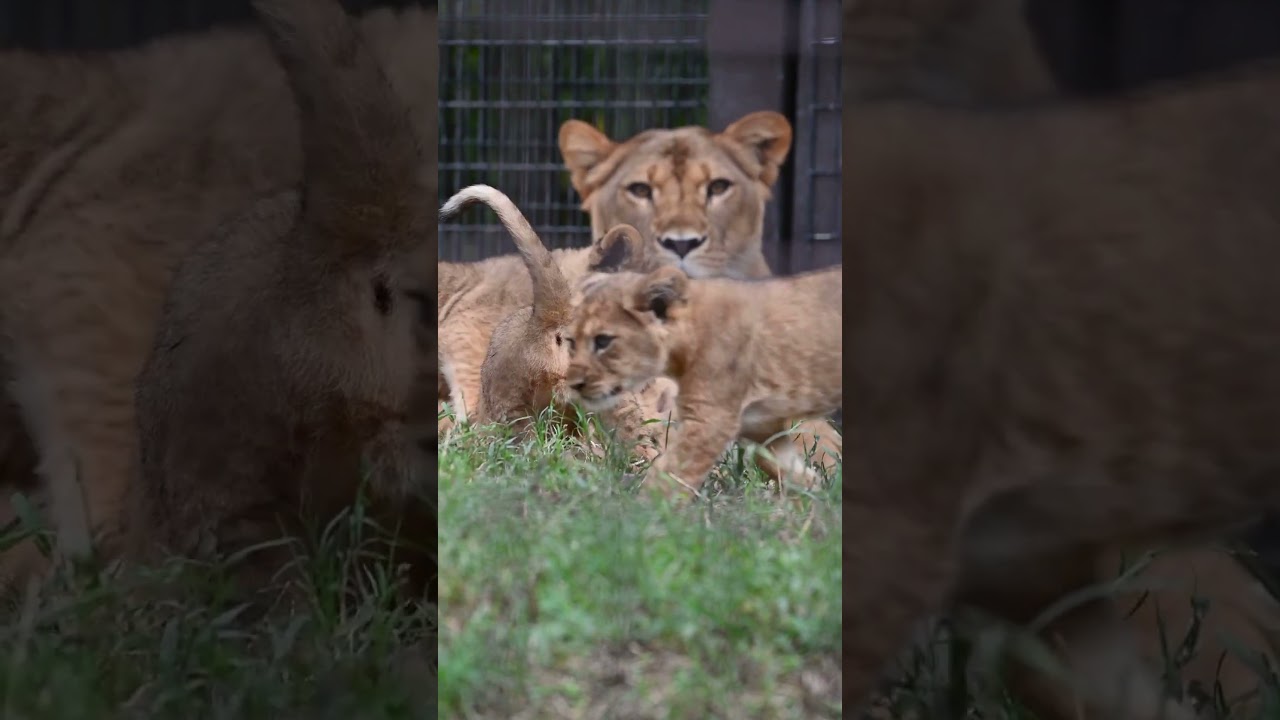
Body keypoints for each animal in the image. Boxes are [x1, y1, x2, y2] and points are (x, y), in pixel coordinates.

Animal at [564, 265, 841, 496]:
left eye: (603, 341)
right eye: (571, 342)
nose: (573, 384)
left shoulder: (710, 420)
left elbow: (669, 476)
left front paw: (644, 517)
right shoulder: (761, 425)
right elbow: (781, 466)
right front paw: (815, 497)